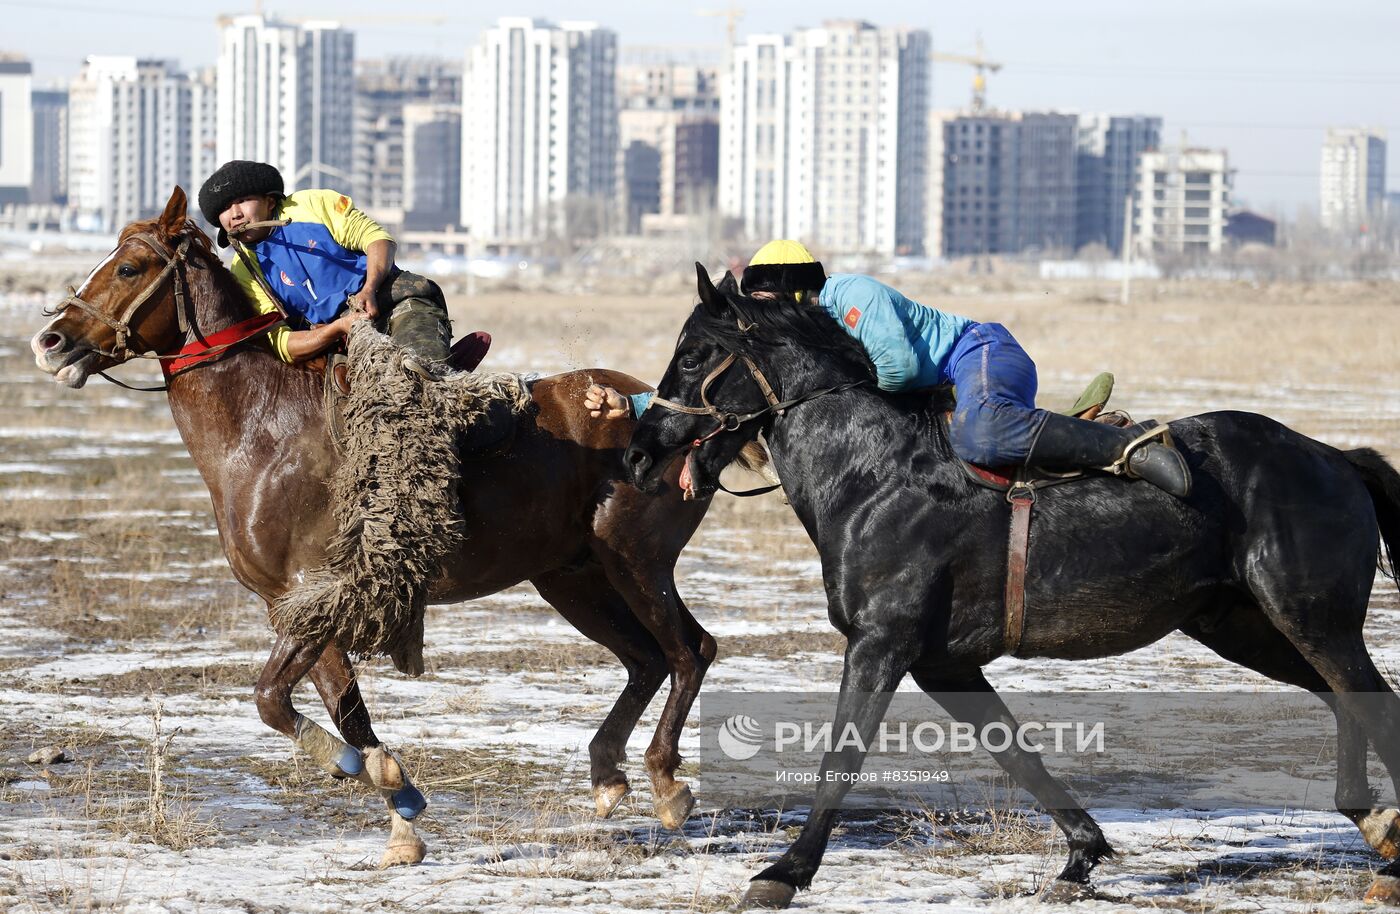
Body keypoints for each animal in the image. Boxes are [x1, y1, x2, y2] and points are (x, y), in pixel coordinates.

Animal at [30, 187, 711, 862]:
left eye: (128, 267)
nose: (50, 341)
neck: (264, 430)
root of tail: (676, 416)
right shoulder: (295, 604)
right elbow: (341, 707)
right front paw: (400, 810)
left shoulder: (320, 591)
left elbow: (272, 698)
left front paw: (353, 767)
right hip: (572, 578)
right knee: (645, 660)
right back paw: (608, 775)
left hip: (635, 561)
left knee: (688, 651)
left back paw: (666, 782)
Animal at [624, 263, 1400, 907]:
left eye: (692, 354)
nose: (637, 454)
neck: (871, 473)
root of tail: (1336, 458)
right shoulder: (944, 663)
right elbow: (1015, 751)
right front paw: (1082, 855)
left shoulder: (881, 643)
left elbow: (841, 756)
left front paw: (783, 873)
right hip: (1243, 625)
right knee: (1349, 699)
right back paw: (1375, 823)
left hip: (1309, 616)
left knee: (1371, 699)